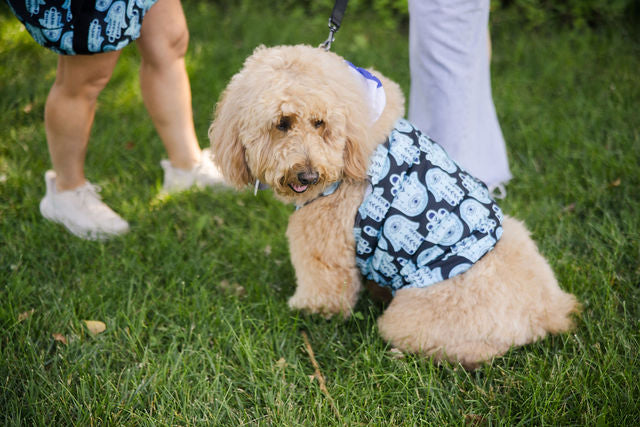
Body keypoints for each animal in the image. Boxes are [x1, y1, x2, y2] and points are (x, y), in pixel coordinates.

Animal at [208, 45, 576, 370]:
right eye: (282, 123)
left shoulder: (322, 246)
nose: (309, 175)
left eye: (320, 123)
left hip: (410, 318)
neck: (352, 145)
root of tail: (547, 313)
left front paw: (305, 311)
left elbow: (324, 294)